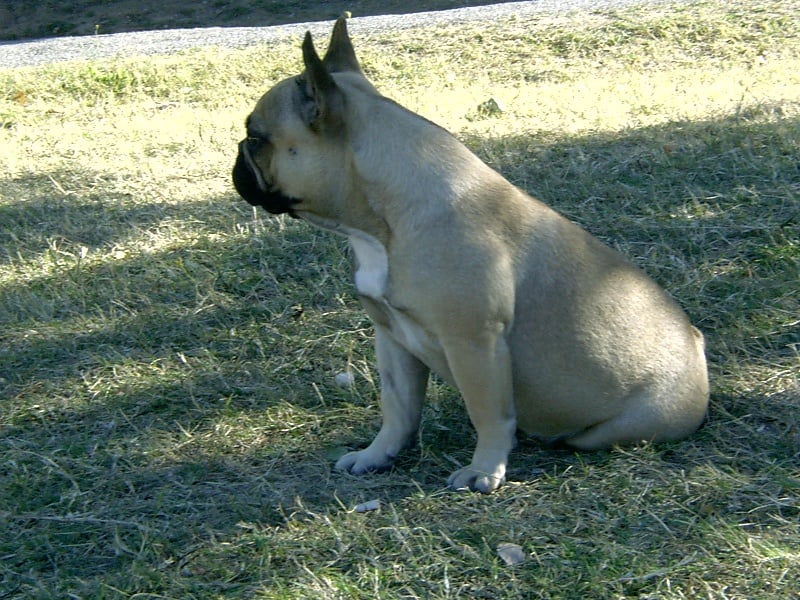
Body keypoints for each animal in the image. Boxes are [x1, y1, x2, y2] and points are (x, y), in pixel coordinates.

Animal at [234, 21, 708, 494]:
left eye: (256, 138)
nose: (237, 152)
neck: (380, 226)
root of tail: (697, 348)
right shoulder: (391, 337)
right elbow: (398, 409)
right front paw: (377, 455)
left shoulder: (474, 341)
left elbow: (488, 414)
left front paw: (483, 469)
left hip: (612, 427)